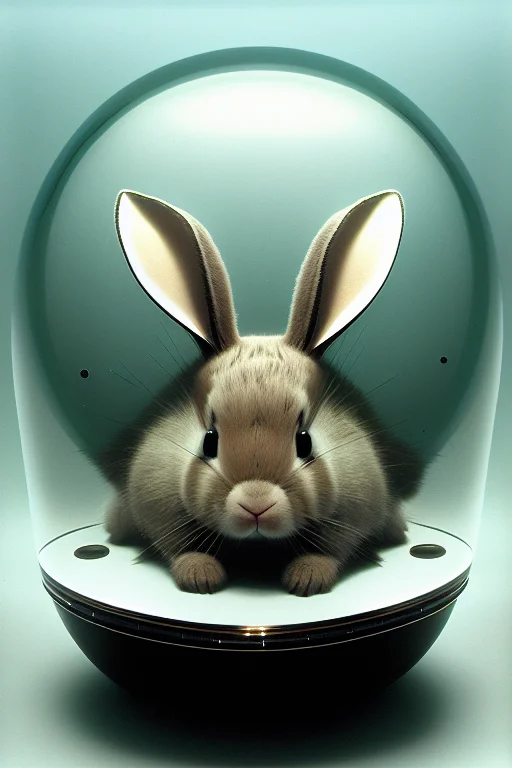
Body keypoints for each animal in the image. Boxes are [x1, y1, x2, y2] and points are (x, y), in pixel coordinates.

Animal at [98, 188, 425, 597]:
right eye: (209, 441)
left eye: (305, 442)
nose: (256, 505)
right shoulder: (155, 494)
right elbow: (179, 546)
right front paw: (200, 577)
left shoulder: (359, 498)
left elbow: (331, 549)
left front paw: (307, 579)